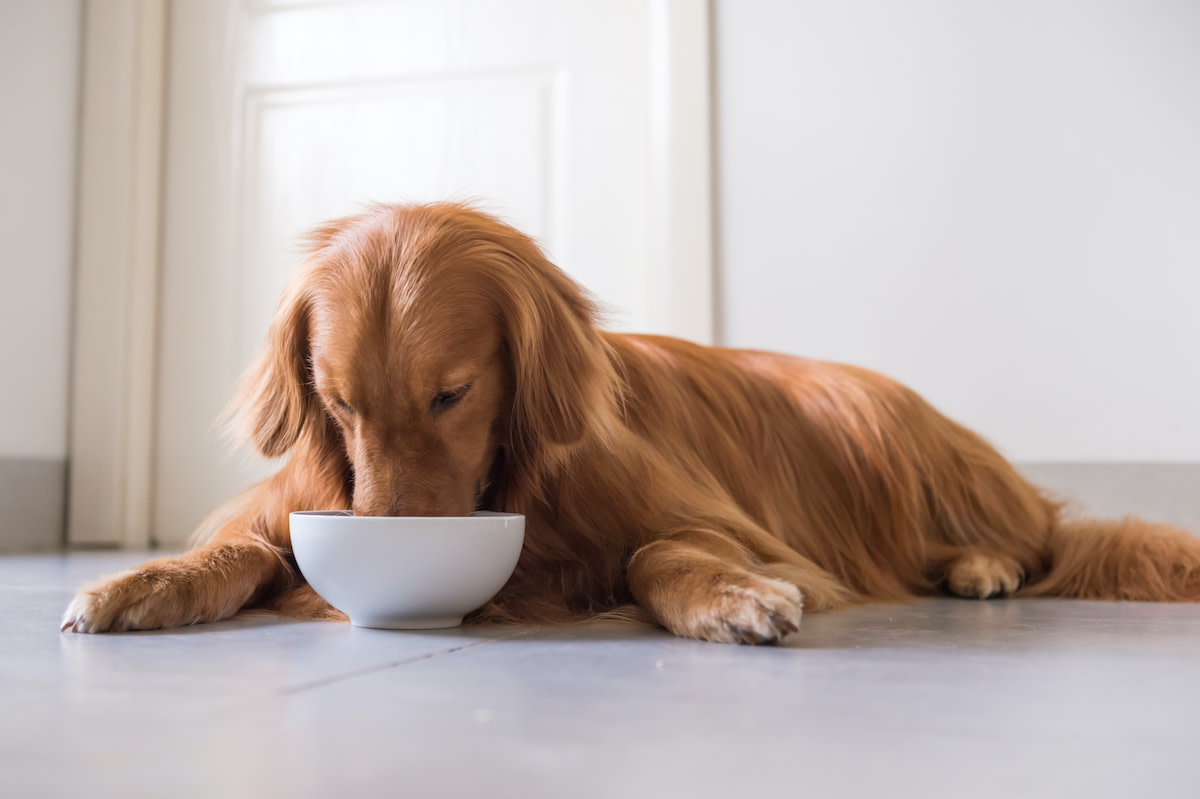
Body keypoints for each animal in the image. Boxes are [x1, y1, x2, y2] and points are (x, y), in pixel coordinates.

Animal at [60, 200, 1200, 643]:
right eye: (337, 404)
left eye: (451, 394)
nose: (393, 542)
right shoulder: (293, 500)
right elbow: (242, 550)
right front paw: (133, 585)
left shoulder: (716, 521)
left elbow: (662, 550)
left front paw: (729, 598)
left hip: (886, 432)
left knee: (1039, 538)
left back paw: (984, 564)